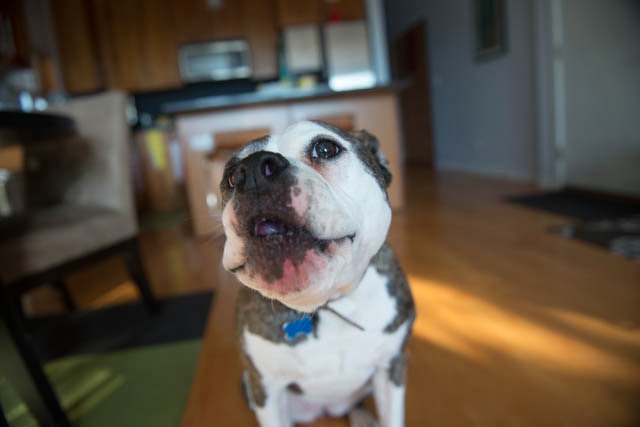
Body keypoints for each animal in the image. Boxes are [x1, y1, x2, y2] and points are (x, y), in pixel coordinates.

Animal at [219, 121, 415, 427]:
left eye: (325, 149)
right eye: (230, 176)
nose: (251, 171)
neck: (327, 303)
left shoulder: (391, 368)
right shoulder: (265, 388)